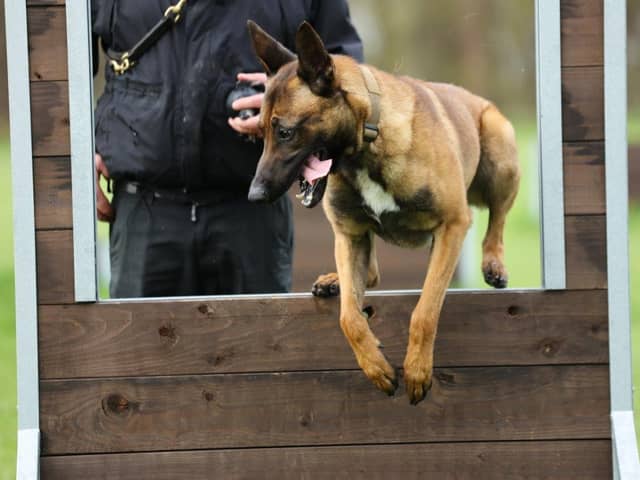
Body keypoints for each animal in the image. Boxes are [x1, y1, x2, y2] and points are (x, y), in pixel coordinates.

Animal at [245, 22, 520, 404]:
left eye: (285, 132)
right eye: (260, 134)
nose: (254, 195)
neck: (367, 143)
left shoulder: (453, 225)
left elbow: (425, 311)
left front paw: (417, 370)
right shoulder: (351, 236)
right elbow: (349, 318)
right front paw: (376, 367)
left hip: (499, 150)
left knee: (497, 219)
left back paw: (494, 262)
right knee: (371, 274)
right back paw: (334, 280)